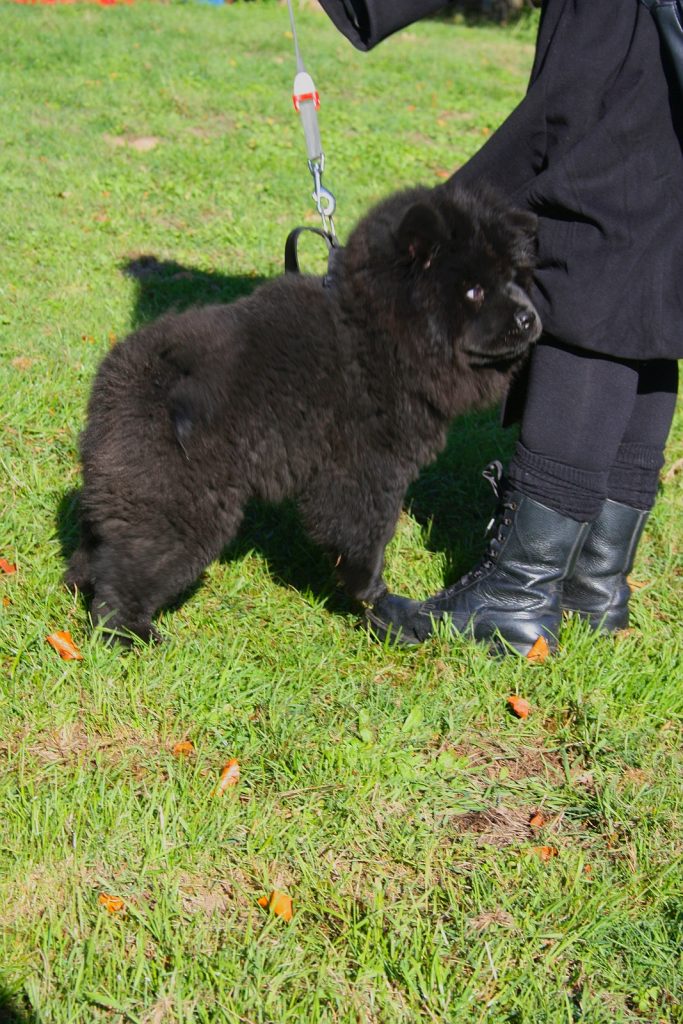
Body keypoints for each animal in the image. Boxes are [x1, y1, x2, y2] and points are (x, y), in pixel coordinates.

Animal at [66, 182, 540, 638]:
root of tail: (125, 379)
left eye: (516, 281)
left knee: (98, 546)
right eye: (474, 291)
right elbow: (364, 537)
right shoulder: (365, 471)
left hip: (125, 486)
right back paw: (130, 632)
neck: (377, 334)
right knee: (128, 575)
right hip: (181, 503)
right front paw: (376, 598)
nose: (529, 318)